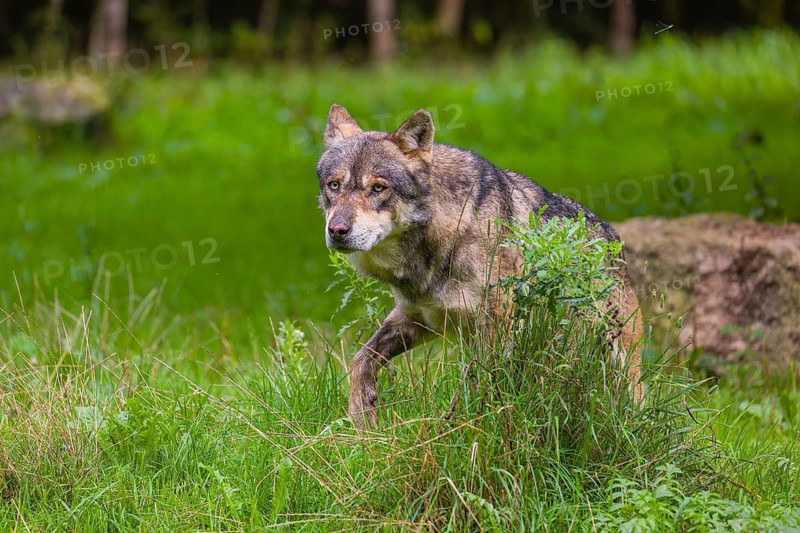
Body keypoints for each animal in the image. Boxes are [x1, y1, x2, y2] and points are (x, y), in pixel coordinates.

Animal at [316, 104, 644, 428]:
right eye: (334, 185)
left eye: (377, 188)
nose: (337, 230)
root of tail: (611, 237)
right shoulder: (417, 318)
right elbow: (360, 361)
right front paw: (363, 420)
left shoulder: (496, 326)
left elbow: (475, 388)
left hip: (621, 357)